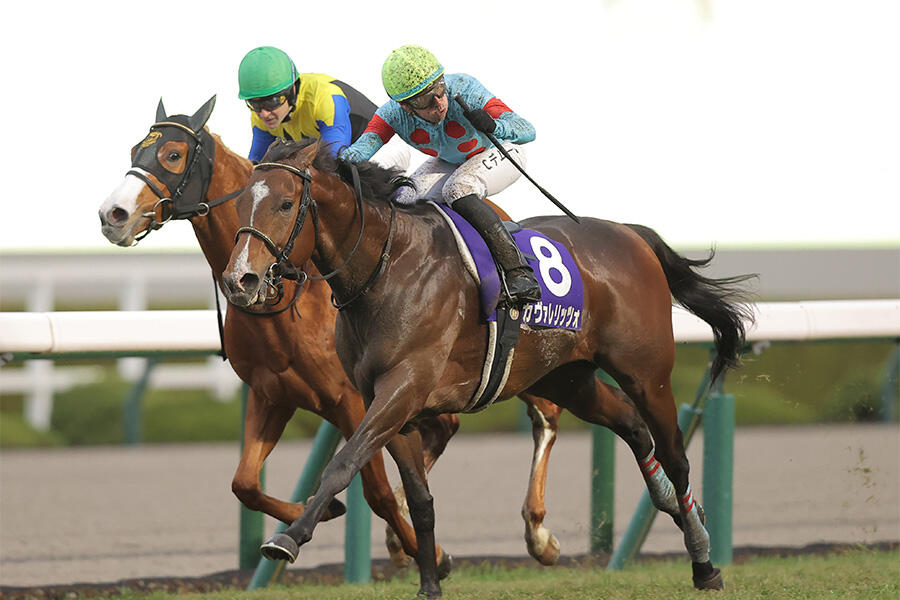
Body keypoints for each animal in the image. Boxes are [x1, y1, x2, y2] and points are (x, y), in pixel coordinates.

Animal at [96, 97, 581, 571]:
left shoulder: (355, 399)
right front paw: (325, 511)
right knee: (448, 427)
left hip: (519, 358)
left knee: (545, 416)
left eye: (173, 155)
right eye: (134, 151)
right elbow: (244, 483)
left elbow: (376, 492)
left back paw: (539, 534)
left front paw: (433, 554)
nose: (112, 215)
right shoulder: (272, 393)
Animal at [220, 138, 754, 598]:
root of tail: (632, 233)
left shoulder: (403, 388)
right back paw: (676, 513)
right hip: (567, 377)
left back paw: (704, 561)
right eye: (242, 202)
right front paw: (429, 583)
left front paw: (288, 538)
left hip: (646, 373)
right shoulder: (387, 402)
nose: (240, 280)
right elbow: (419, 498)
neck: (387, 268)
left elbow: (343, 463)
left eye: (285, 204)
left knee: (676, 454)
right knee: (631, 426)